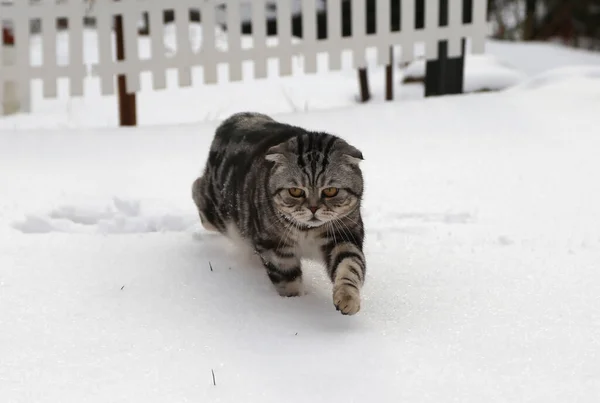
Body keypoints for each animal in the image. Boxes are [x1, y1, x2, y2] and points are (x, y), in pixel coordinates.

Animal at [192, 112, 366, 318]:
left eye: (330, 191)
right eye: (295, 191)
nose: (313, 208)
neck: (308, 231)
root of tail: (235, 118)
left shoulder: (344, 236)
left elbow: (350, 267)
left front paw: (347, 299)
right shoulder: (275, 248)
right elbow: (288, 281)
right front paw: (294, 305)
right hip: (218, 214)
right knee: (197, 189)